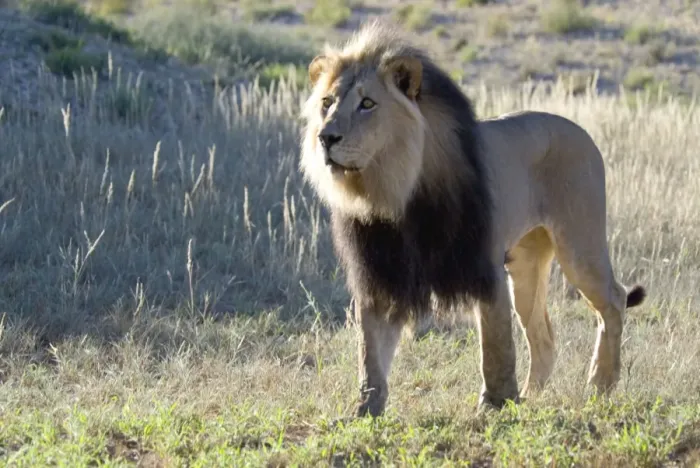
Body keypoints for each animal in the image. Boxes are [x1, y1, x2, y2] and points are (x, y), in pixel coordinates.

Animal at [298, 20, 647, 417]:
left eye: (367, 103)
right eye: (326, 103)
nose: (326, 137)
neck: (392, 191)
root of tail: (581, 131)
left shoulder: (483, 264)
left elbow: (495, 345)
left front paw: (496, 403)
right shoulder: (380, 273)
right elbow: (371, 351)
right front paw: (365, 409)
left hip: (579, 244)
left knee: (613, 300)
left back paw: (600, 384)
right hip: (527, 264)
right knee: (543, 335)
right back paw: (533, 396)